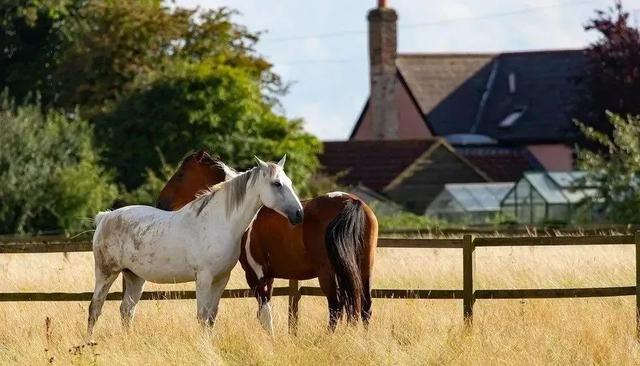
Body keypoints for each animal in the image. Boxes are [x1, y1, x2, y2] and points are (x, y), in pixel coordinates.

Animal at [87, 156, 302, 336]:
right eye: (277, 184)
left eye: (289, 183)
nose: (299, 214)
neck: (219, 222)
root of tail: (105, 217)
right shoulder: (204, 278)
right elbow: (202, 316)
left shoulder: (221, 279)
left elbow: (212, 317)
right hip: (106, 273)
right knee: (95, 308)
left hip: (134, 277)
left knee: (126, 310)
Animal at [158, 150, 378, 334]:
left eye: (180, 175)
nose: (161, 203)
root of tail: (352, 202)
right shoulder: (269, 276)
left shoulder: (255, 275)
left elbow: (264, 314)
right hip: (364, 267)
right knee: (365, 306)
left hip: (328, 272)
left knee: (336, 306)